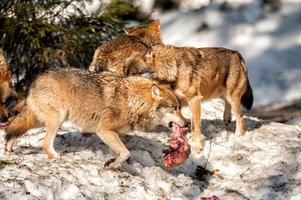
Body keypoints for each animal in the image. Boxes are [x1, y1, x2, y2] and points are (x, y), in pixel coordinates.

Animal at [5, 68, 186, 168]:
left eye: (179, 108)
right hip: (57, 119)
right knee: (44, 144)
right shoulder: (104, 130)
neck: (133, 101)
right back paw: (57, 158)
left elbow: (120, 153)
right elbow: (126, 153)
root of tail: (35, 82)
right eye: (174, 108)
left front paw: (113, 164)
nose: (186, 123)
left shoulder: (114, 134)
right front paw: (112, 165)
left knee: (13, 127)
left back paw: (8, 148)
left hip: (41, 120)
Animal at [123, 45, 252, 152]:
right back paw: (227, 118)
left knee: (241, 118)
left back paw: (238, 136)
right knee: (227, 105)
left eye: (134, 74)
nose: (125, 83)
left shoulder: (194, 100)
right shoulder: (177, 103)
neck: (173, 71)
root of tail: (237, 54)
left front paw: (197, 146)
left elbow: (195, 126)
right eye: (125, 73)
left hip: (232, 97)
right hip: (221, 94)